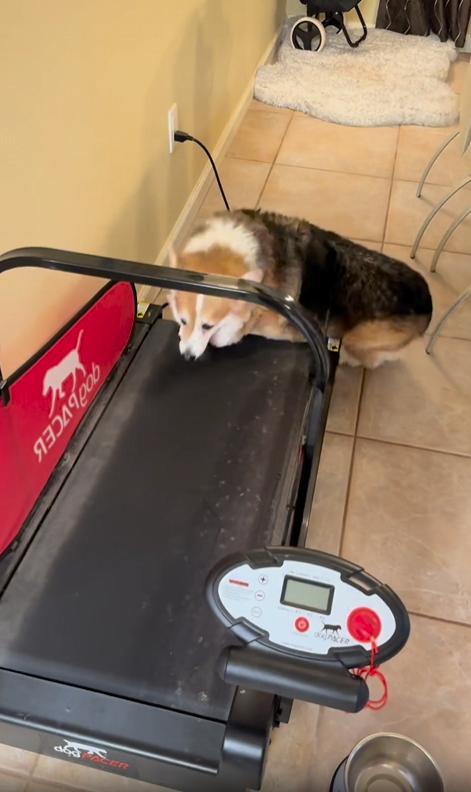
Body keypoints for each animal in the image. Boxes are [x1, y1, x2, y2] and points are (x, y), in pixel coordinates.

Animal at [168, 210, 432, 367]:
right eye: (182, 320)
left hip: (356, 339)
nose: (187, 357)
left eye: (207, 325)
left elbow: (231, 332)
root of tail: (428, 302)